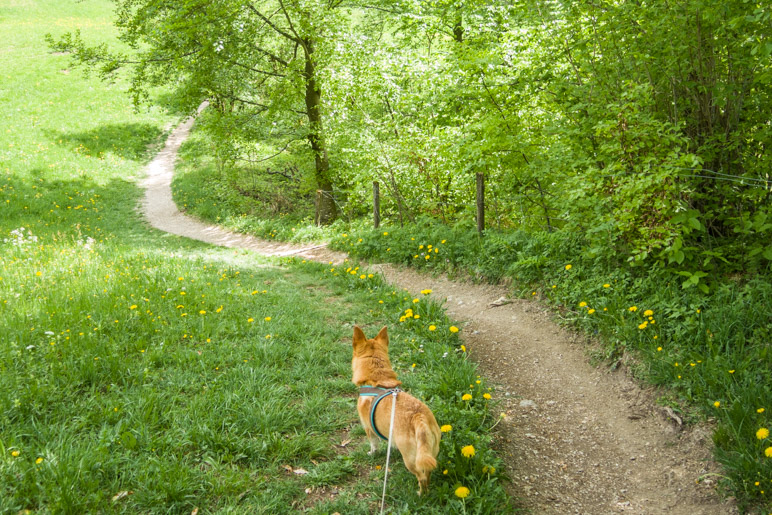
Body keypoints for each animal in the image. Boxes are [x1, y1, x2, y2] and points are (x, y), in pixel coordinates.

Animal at [352, 326, 440, 496]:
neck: (378, 379)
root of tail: (418, 417)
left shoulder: (368, 428)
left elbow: (373, 444)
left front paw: (372, 453)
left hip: (410, 460)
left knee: (421, 477)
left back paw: (420, 494)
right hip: (430, 453)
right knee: (428, 472)